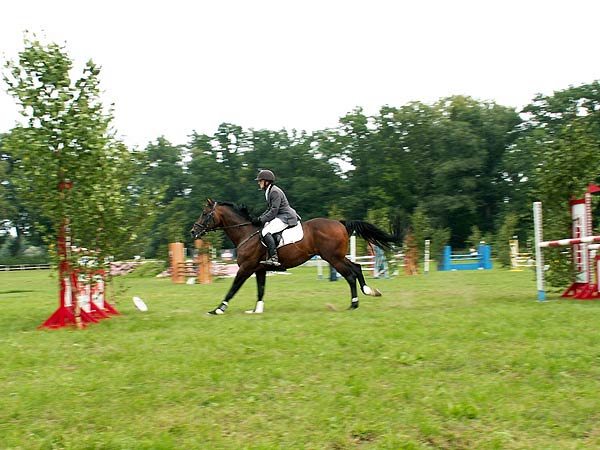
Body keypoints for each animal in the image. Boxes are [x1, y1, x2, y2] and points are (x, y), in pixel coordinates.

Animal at [191, 199, 398, 314]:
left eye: (204, 213)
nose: (193, 231)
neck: (246, 233)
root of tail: (340, 223)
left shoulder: (246, 268)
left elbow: (232, 289)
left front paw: (218, 309)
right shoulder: (259, 269)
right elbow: (260, 290)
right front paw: (257, 310)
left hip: (333, 258)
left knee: (350, 274)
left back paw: (354, 304)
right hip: (337, 256)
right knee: (356, 268)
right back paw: (368, 292)